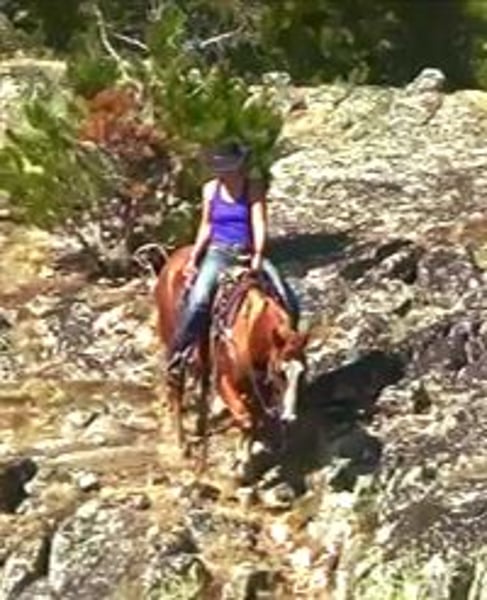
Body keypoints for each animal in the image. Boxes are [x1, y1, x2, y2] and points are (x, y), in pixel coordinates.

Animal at [153, 245, 308, 477]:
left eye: (302, 372)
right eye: (280, 372)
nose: (289, 417)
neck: (250, 333)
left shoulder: (259, 388)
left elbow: (253, 419)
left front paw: (243, 458)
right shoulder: (224, 381)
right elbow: (245, 418)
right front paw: (241, 463)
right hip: (174, 340)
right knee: (176, 387)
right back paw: (182, 444)